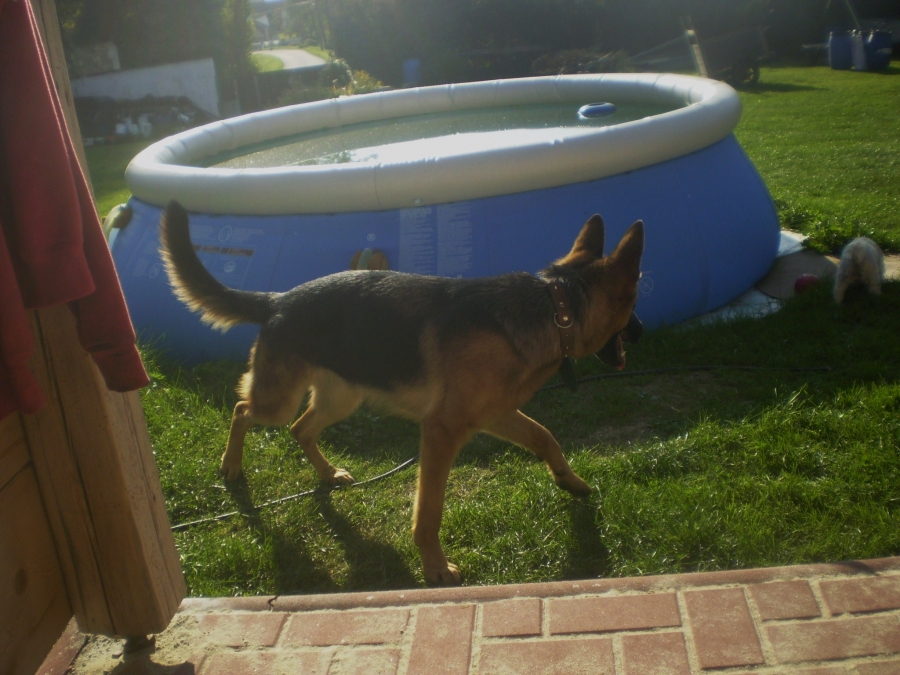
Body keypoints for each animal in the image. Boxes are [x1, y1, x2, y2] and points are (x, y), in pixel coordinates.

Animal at [159, 200, 644, 585]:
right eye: (635, 304)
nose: (639, 334)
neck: (557, 309)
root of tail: (278, 299)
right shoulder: (442, 432)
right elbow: (428, 512)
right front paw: (435, 568)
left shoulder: (496, 416)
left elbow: (546, 437)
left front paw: (570, 481)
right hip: (278, 401)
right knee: (243, 409)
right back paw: (231, 465)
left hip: (341, 399)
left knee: (300, 429)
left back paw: (327, 474)